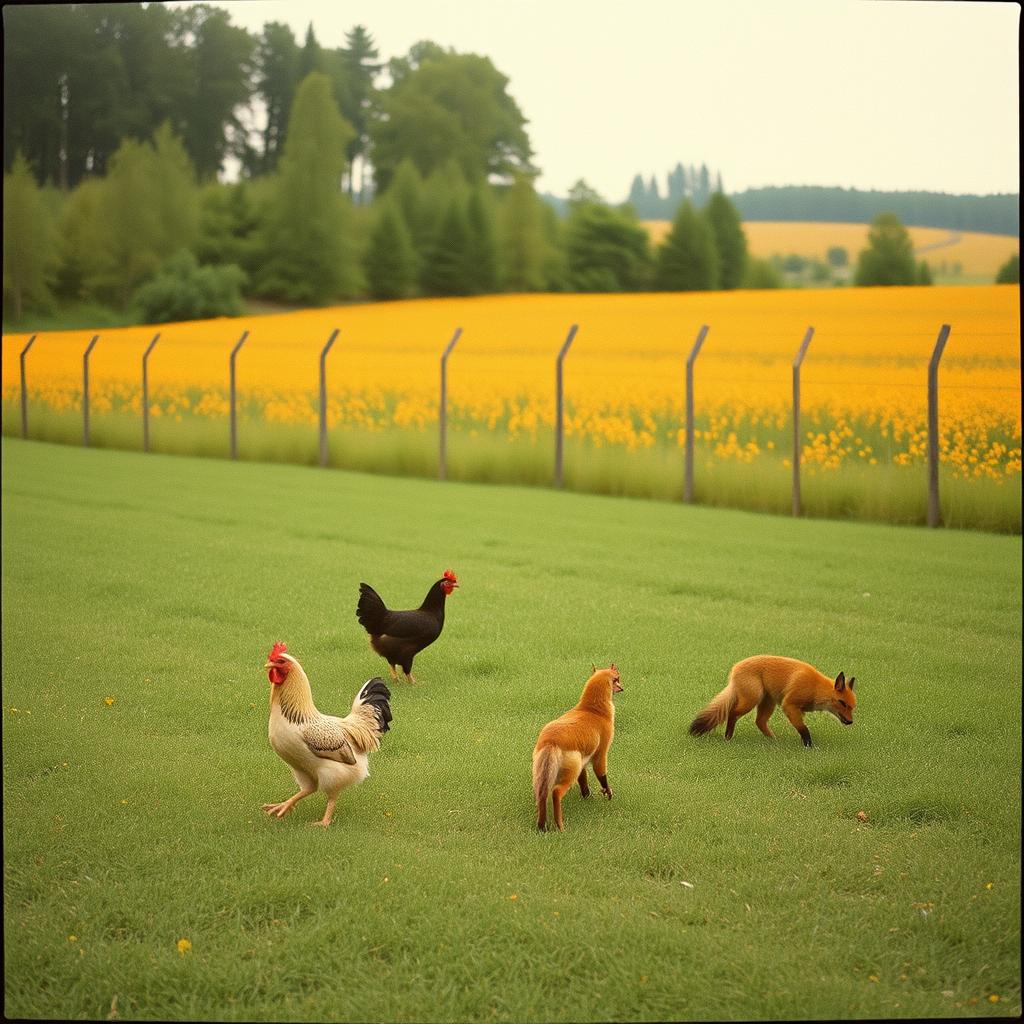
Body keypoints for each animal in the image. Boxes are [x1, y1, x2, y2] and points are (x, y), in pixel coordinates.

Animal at [532, 665, 623, 831]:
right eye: (617, 678)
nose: (622, 688)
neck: (593, 711)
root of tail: (550, 741)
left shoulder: (583, 760)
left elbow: (584, 780)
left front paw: (587, 795)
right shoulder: (601, 753)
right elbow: (602, 776)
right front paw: (608, 793)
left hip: (542, 774)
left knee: (542, 795)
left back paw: (542, 826)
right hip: (570, 772)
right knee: (556, 793)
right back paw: (560, 825)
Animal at [689, 655, 855, 747]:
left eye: (852, 707)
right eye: (842, 703)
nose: (850, 722)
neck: (816, 688)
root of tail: (734, 669)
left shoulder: (798, 709)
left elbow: (802, 727)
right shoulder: (789, 705)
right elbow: (804, 729)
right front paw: (809, 746)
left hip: (768, 702)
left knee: (759, 721)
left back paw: (773, 741)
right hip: (752, 700)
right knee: (733, 713)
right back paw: (728, 737)